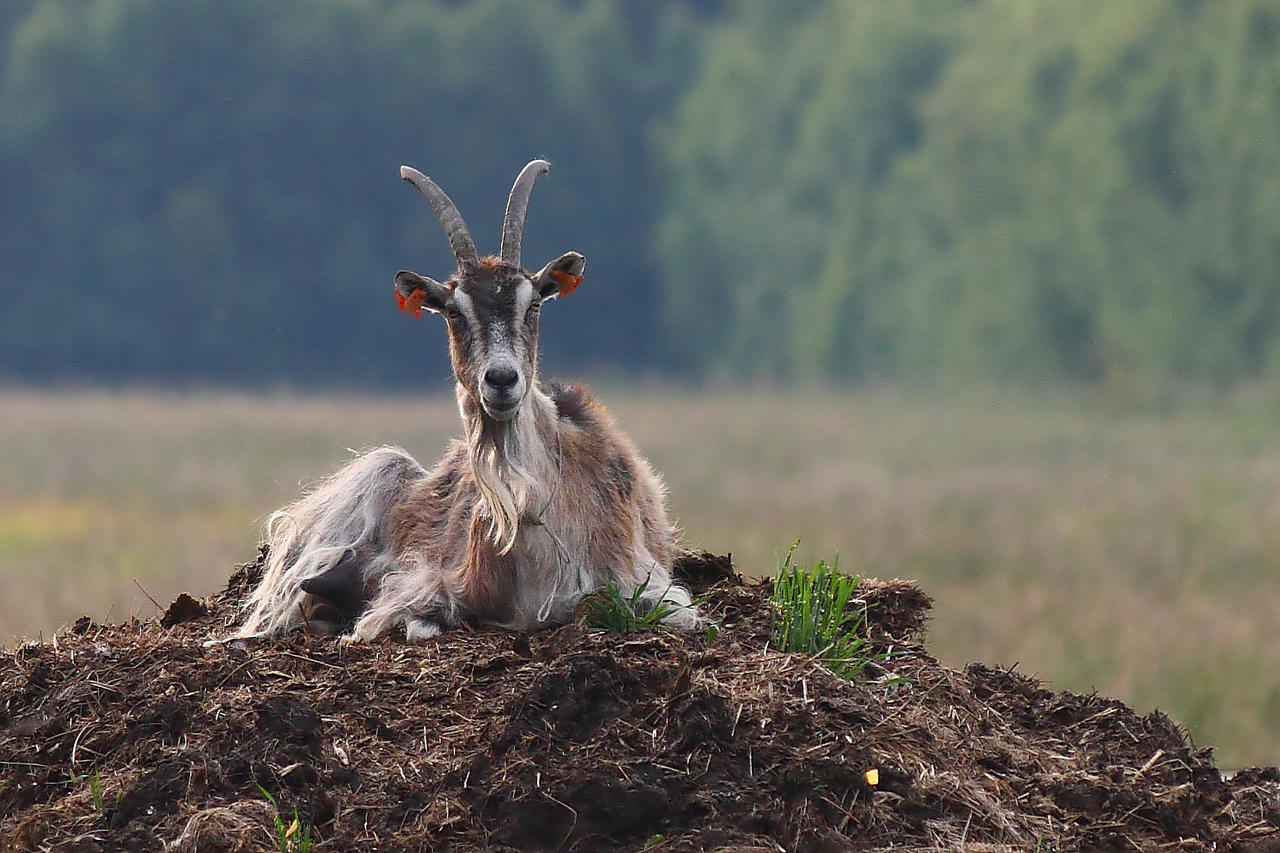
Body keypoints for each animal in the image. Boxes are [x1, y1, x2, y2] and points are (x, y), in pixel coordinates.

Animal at [240, 159, 701, 637]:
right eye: (453, 310)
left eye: (534, 303)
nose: (501, 380)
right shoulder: (428, 581)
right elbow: (413, 617)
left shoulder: (649, 584)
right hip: (375, 471)